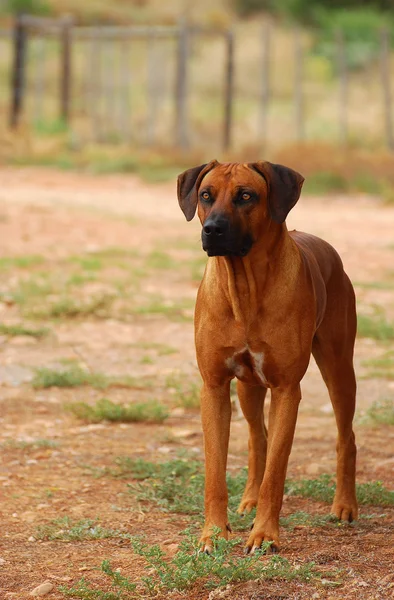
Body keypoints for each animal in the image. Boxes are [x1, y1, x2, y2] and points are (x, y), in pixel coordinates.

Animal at [177, 159, 358, 552]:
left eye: (246, 196)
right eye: (205, 195)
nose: (213, 230)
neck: (245, 287)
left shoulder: (287, 390)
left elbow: (276, 473)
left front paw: (264, 536)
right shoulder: (214, 386)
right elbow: (215, 473)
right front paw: (213, 533)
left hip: (339, 367)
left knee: (346, 437)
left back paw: (345, 505)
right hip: (248, 385)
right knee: (257, 437)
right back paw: (249, 498)